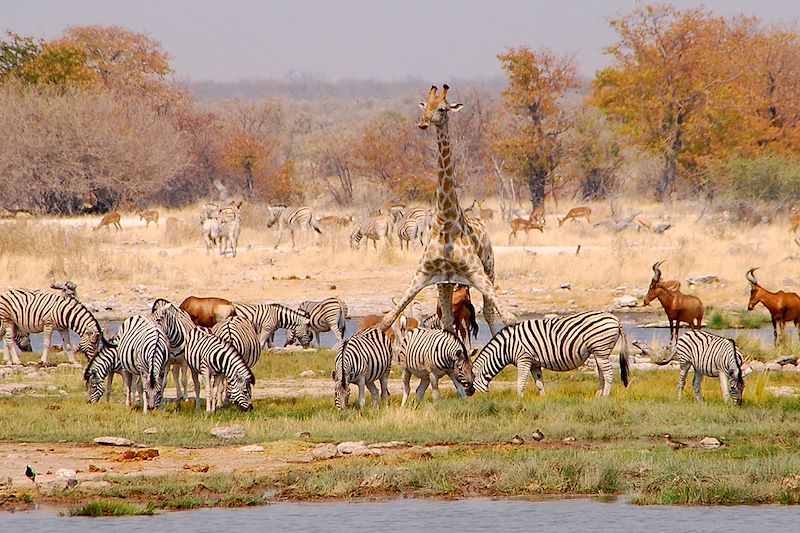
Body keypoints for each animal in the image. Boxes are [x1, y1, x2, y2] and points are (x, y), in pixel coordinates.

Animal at [382, 84, 520, 334]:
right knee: (447, 319)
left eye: (443, 109)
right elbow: (388, 320)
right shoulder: (424, 273)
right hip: (446, 283)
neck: (446, 220)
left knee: (490, 313)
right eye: (425, 106)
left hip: (489, 268)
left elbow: (510, 318)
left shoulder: (476, 271)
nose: (423, 123)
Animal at [468, 312, 632, 394]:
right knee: (602, 374)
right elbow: (539, 384)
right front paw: (543, 400)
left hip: (601, 349)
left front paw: (519, 401)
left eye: (468, 382)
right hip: (599, 353)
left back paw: (605, 397)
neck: (505, 348)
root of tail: (616, 320)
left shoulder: (524, 359)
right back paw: (598, 396)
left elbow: (520, 384)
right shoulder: (534, 363)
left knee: (608, 374)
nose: (469, 397)